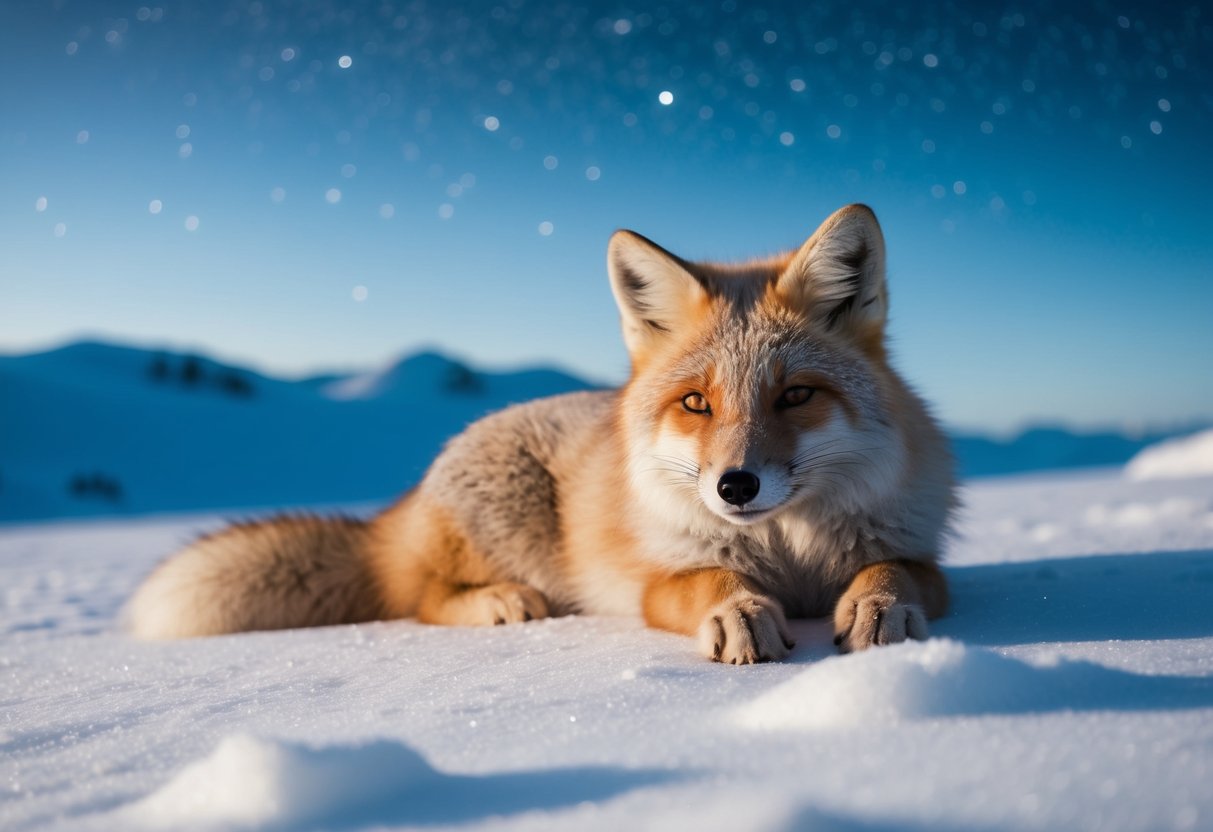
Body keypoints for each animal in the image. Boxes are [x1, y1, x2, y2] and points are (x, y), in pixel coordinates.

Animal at [126, 204, 955, 663]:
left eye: (795, 395)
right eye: (695, 403)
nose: (734, 485)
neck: (791, 557)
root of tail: (406, 500)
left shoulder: (924, 557)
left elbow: (892, 570)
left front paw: (879, 609)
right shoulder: (657, 581)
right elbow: (712, 581)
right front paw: (738, 613)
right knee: (419, 596)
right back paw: (499, 602)